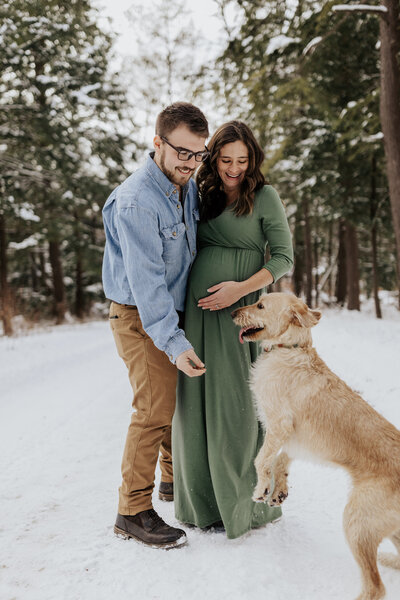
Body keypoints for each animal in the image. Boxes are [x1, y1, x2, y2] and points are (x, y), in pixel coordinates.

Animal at [231, 294, 400, 600]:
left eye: (260, 306)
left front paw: (261, 489)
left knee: (375, 587)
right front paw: (278, 491)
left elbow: (261, 460)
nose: (232, 313)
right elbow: (279, 460)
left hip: (357, 522)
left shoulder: (278, 424)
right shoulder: (293, 439)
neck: (289, 348)